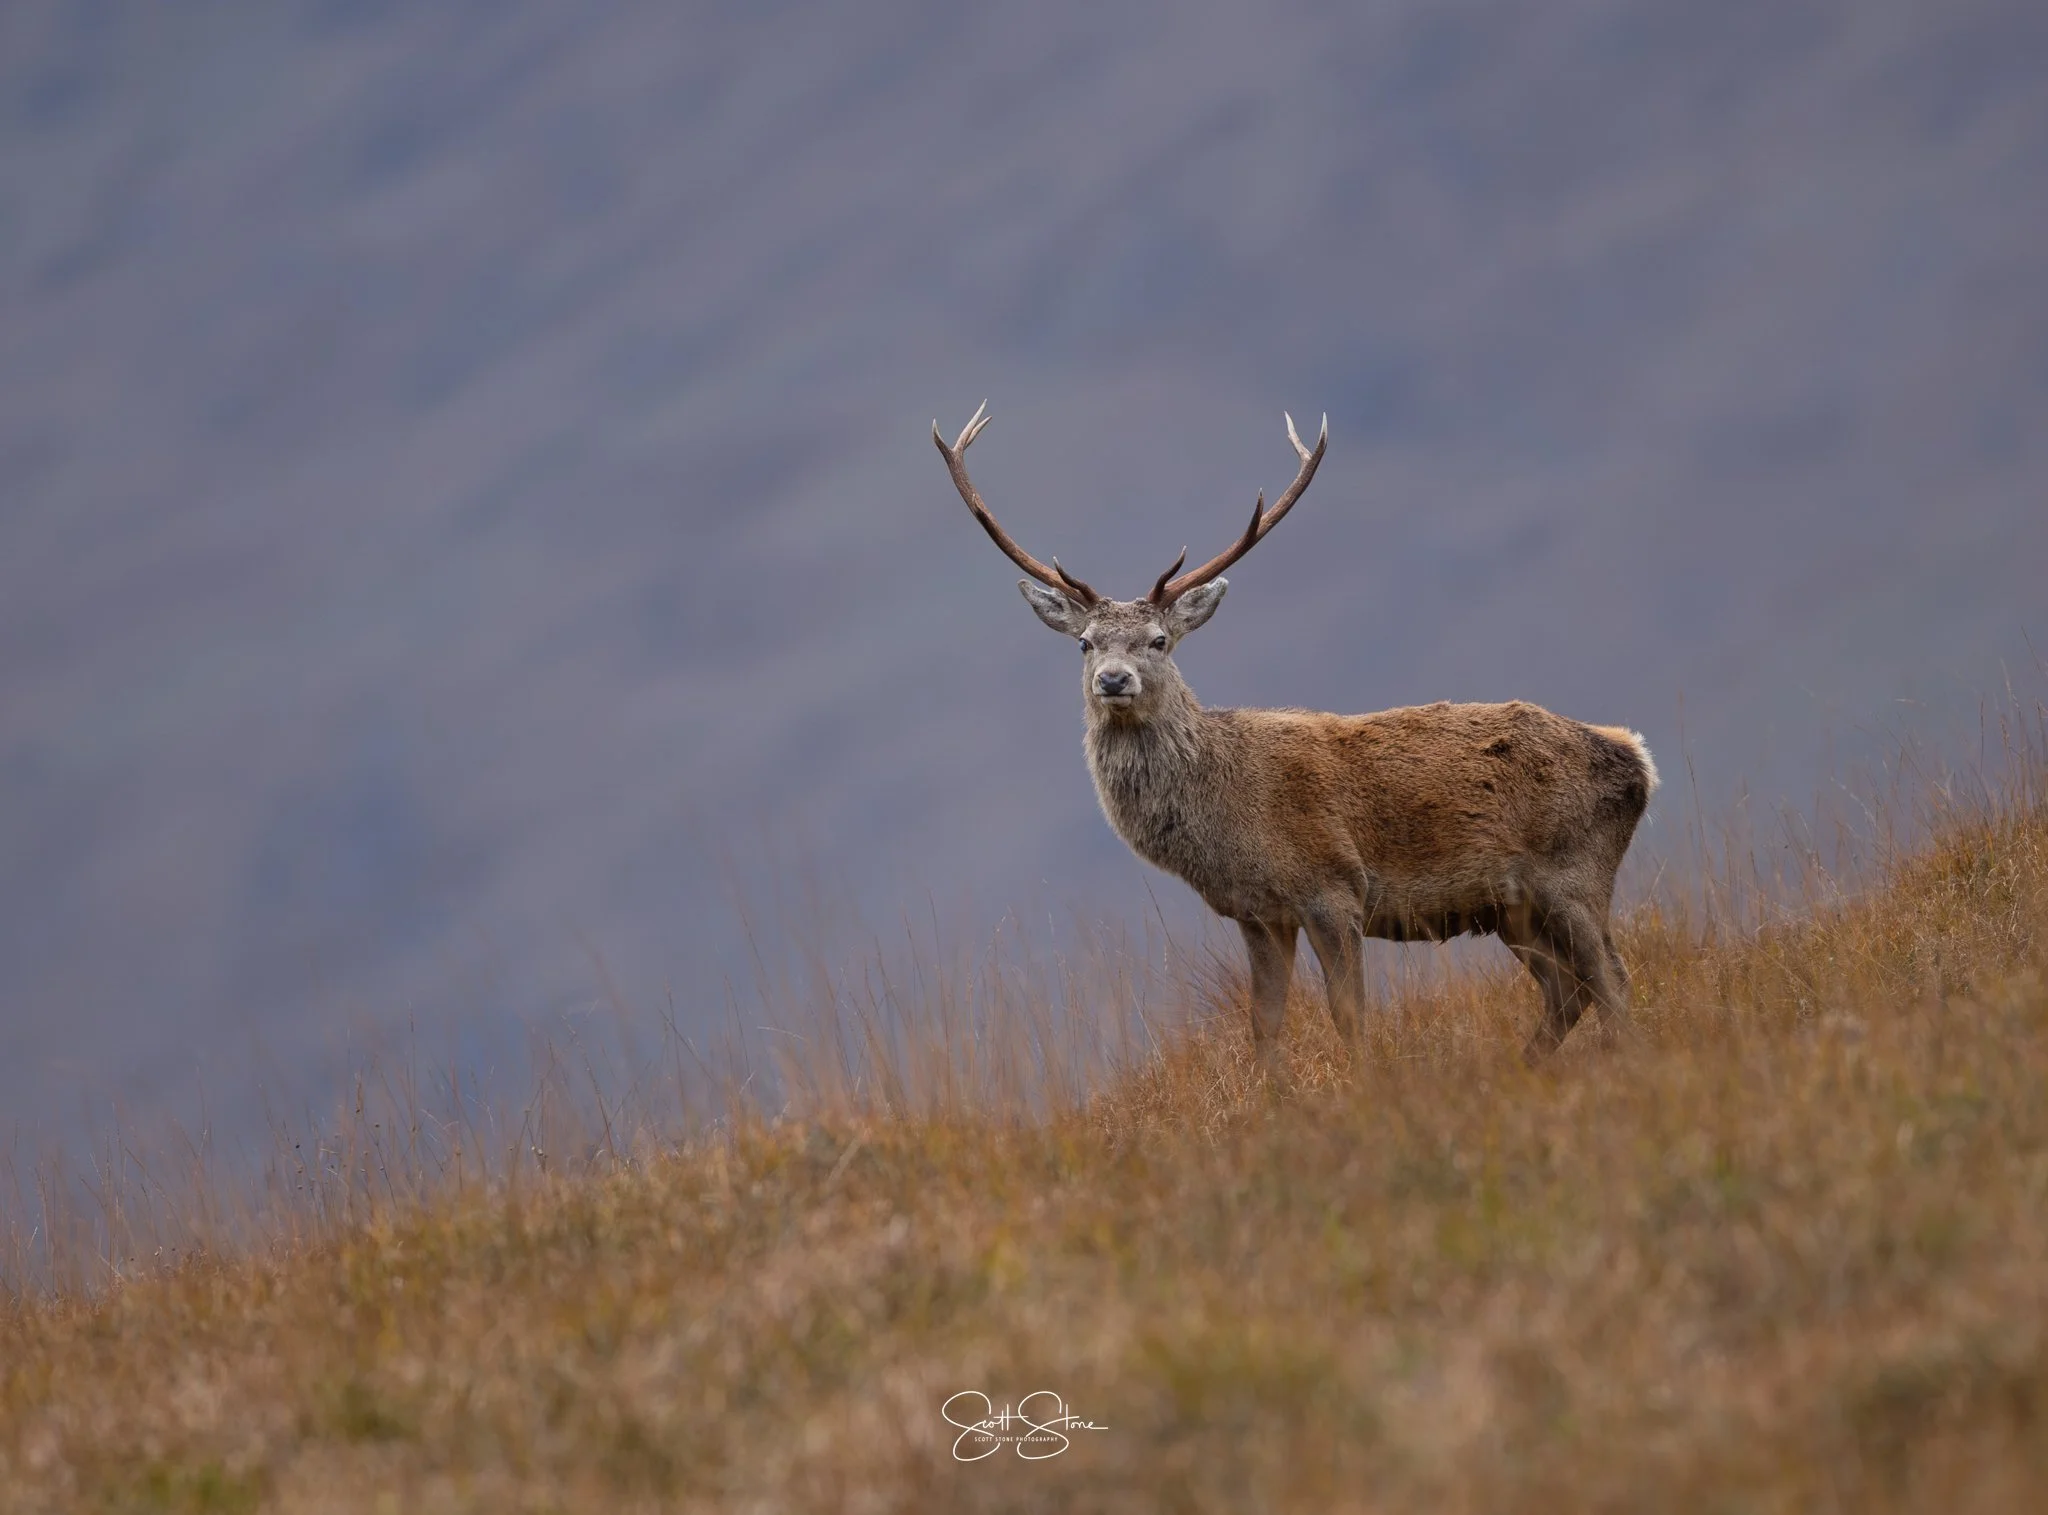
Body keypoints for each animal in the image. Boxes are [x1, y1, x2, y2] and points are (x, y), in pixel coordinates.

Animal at [935, 402, 1659, 1071]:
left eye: (1159, 640)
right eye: (1085, 642)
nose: (1114, 679)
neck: (1228, 814)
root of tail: (1636, 760)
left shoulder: (1333, 887)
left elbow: (1348, 1012)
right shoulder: (1259, 913)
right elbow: (1265, 1021)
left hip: (1573, 871)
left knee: (1611, 978)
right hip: (1512, 908)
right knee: (1567, 990)